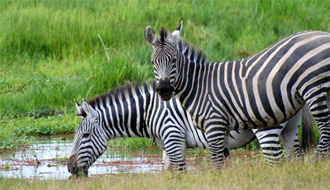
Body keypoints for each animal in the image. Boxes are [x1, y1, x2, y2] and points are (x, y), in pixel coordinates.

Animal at [145, 21, 330, 168]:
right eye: (153, 62)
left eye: (174, 60)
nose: (164, 90)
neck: (198, 85)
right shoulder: (223, 128)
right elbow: (224, 162)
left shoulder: (213, 124)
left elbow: (216, 163)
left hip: (314, 89)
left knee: (325, 132)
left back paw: (315, 165)